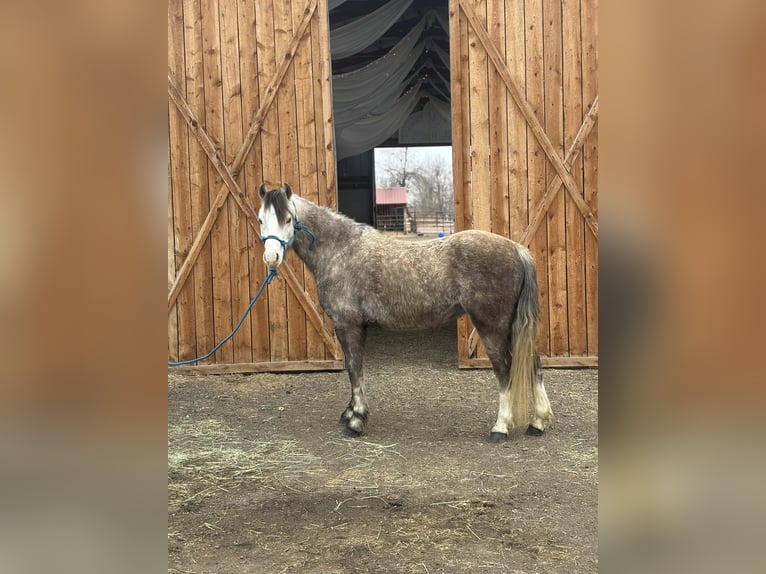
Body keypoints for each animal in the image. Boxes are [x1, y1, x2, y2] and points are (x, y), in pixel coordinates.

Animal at [256, 183, 553, 442]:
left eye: (288, 219)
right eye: (261, 220)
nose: (271, 258)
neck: (341, 250)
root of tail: (515, 248)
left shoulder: (348, 324)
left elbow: (354, 368)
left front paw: (356, 421)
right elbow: (353, 369)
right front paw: (350, 413)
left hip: (492, 326)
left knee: (504, 370)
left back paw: (500, 427)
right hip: (511, 326)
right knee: (534, 364)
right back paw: (538, 423)